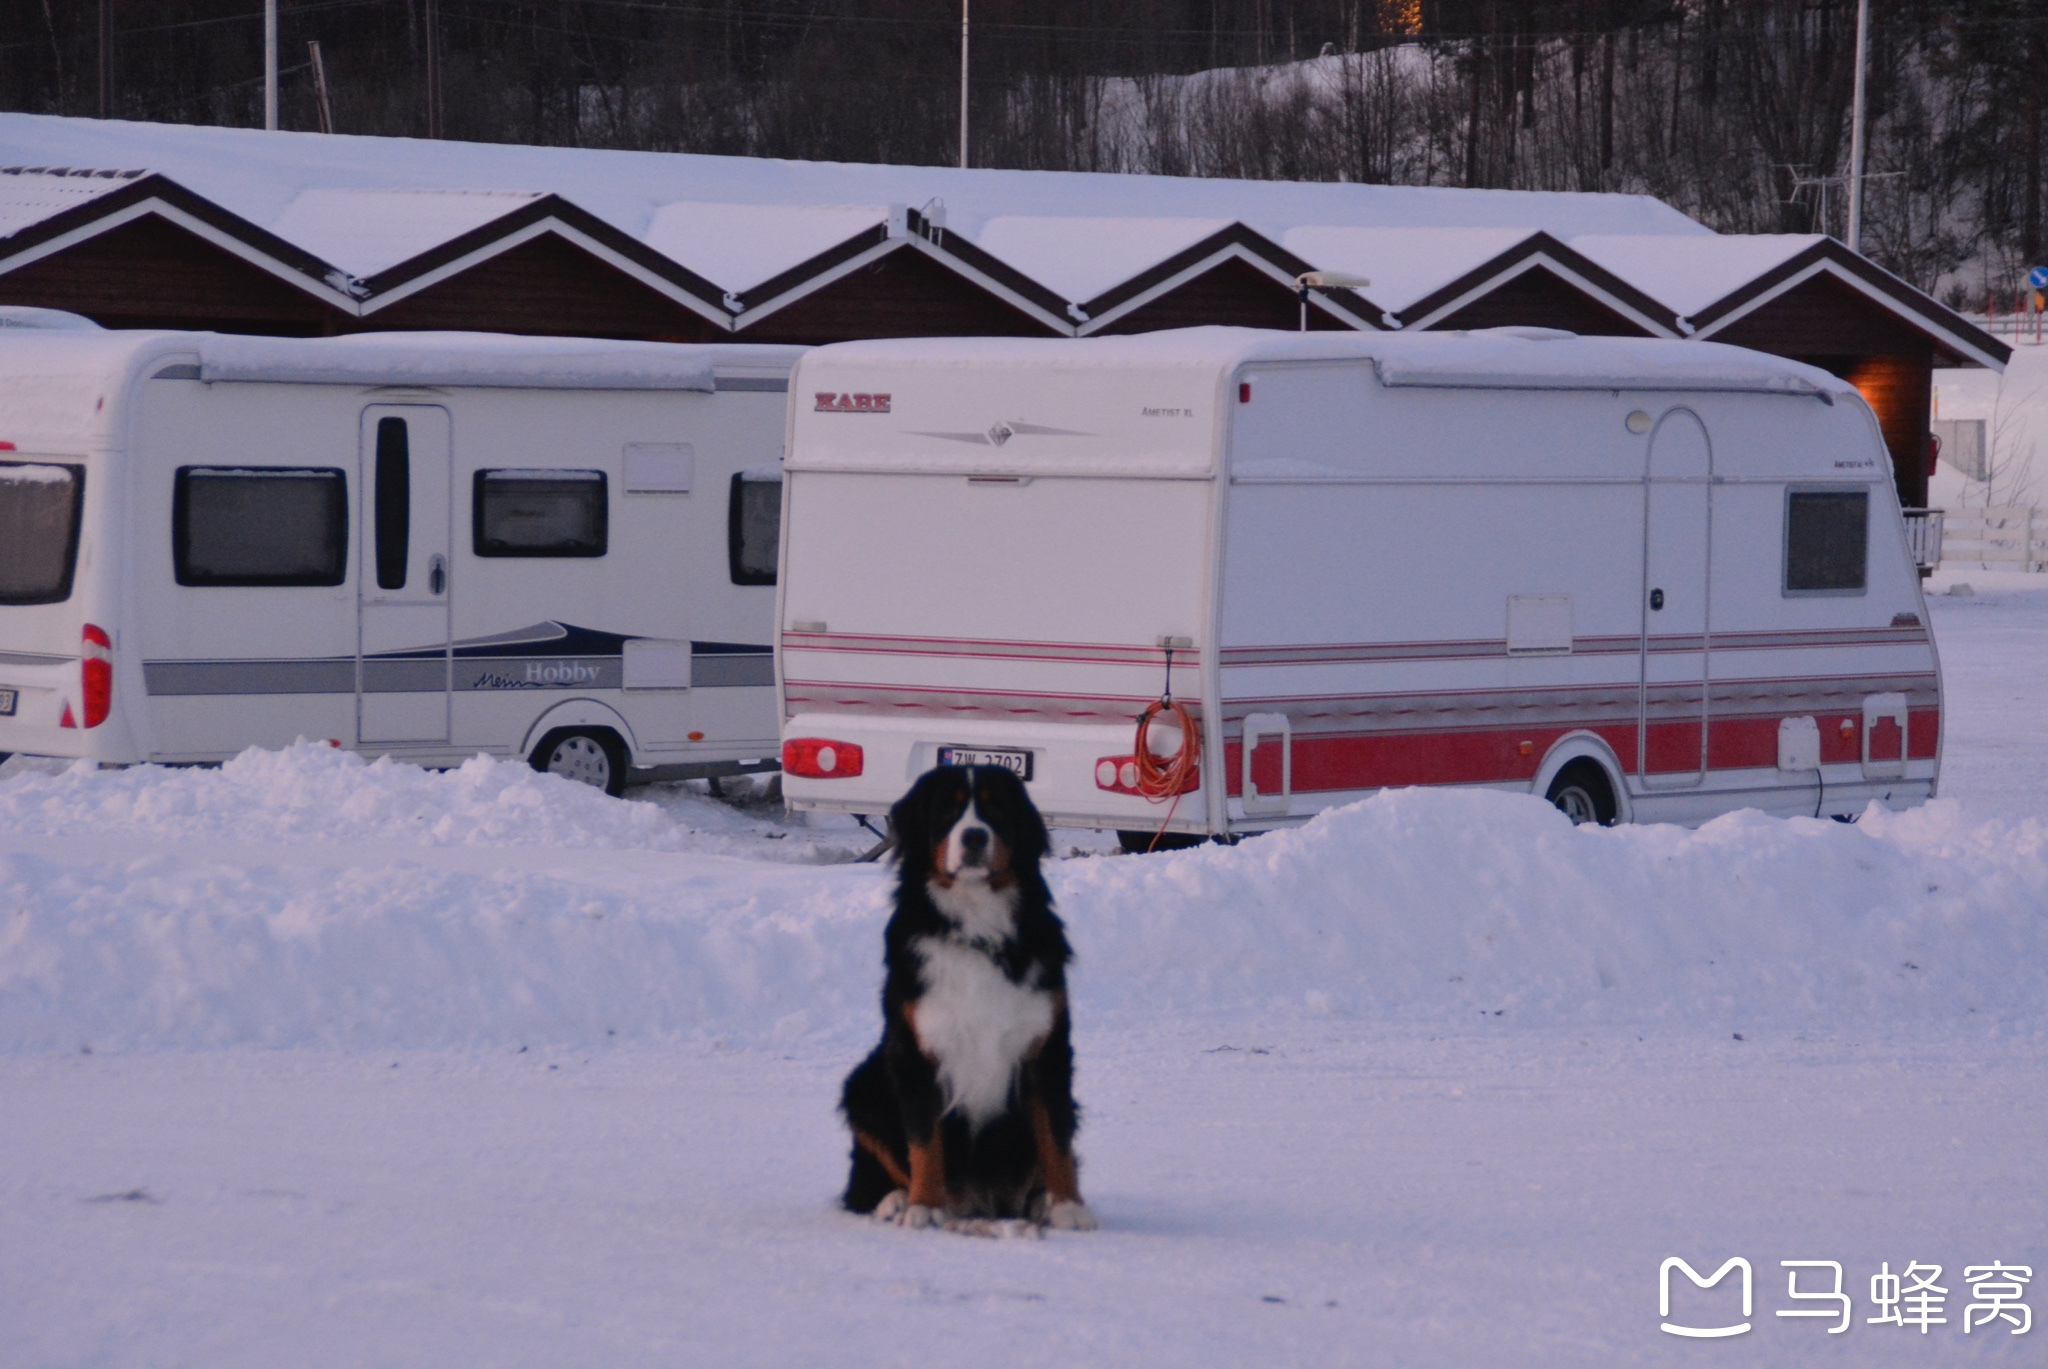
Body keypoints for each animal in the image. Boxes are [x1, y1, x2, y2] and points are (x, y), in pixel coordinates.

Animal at [835, 766, 1097, 1237]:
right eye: (947, 810)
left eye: (996, 809)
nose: (974, 836)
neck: (976, 921)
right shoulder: (915, 1052)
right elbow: (923, 1140)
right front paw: (923, 1206)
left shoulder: (1047, 1048)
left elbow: (1056, 1135)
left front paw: (1068, 1205)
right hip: (863, 1085)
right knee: (863, 1184)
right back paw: (896, 1201)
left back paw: (1038, 1202)